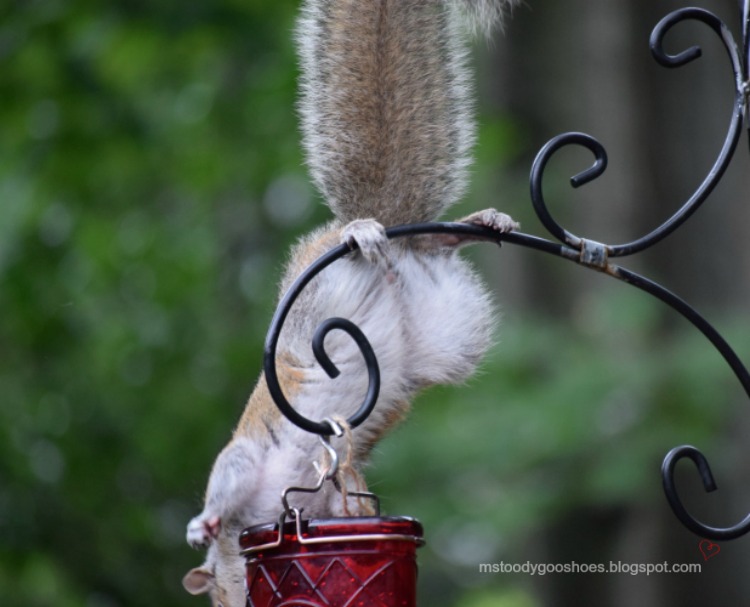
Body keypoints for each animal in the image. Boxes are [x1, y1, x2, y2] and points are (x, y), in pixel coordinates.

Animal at [183, 0, 521, 605]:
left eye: (216, 592)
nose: (233, 604)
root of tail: (394, 244)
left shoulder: (246, 455)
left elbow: (226, 478)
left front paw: (204, 522)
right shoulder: (328, 490)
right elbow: (346, 498)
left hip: (320, 277)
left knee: (368, 240)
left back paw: (371, 230)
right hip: (448, 320)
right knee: (439, 242)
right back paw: (480, 224)